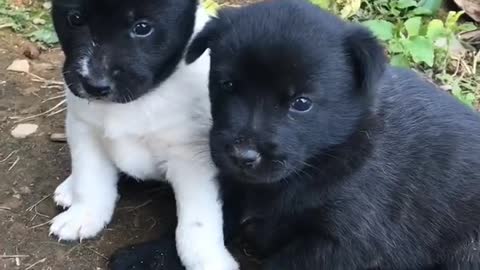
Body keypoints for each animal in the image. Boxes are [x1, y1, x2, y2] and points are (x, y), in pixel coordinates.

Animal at [49, 0, 237, 270]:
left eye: (142, 28)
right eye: (75, 19)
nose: (95, 86)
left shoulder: (193, 160)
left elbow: (196, 223)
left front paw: (208, 259)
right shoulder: (83, 128)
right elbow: (90, 181)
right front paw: (84, 214)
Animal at [110, 0, 480, 270]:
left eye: (301, 103)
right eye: (227, 86)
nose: (242, 156)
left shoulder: (341, 244)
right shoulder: (233, 191)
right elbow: (206, 227)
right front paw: (145, 257)